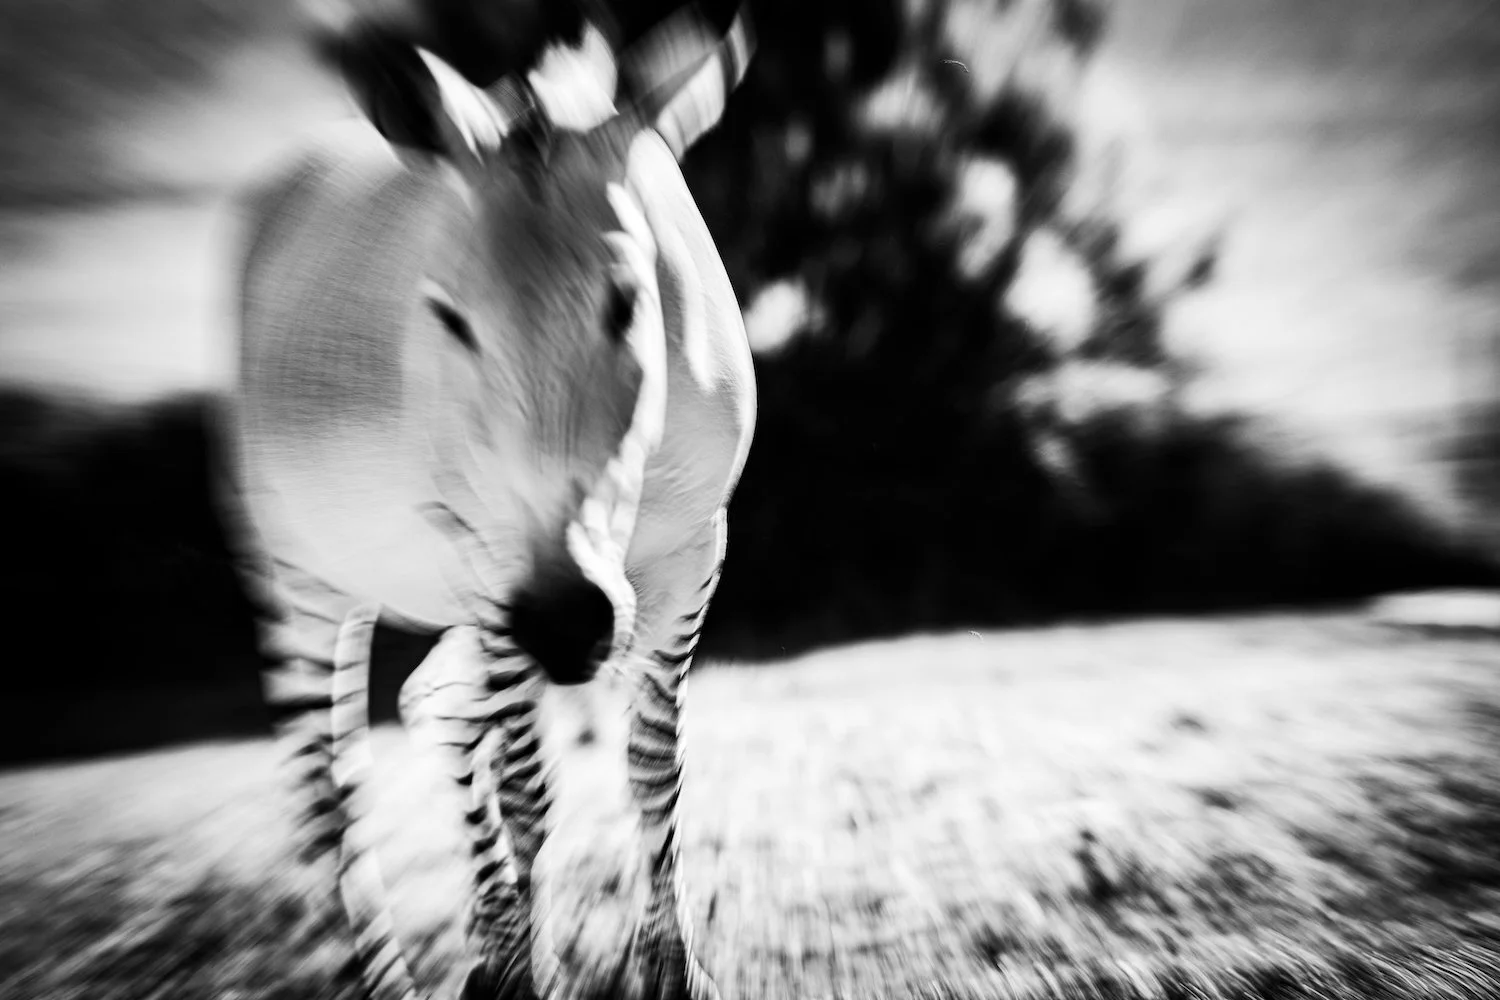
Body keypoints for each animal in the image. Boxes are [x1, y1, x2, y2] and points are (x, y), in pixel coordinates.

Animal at [219, 8, 756, 999]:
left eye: (629, 301)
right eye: (445, 318)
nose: (566, 621)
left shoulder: (695, 549)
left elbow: (651, 769)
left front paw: (666, 967)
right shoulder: (486, 562)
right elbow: (526, 792)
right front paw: (520, 968)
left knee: (431, 713)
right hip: (302, 575)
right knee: (330, 795)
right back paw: (396, 972)